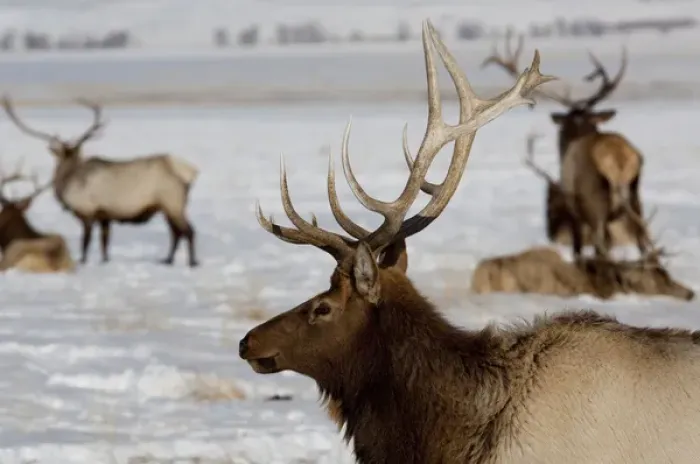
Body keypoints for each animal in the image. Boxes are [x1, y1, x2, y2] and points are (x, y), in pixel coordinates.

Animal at [1, 97, 199, 267]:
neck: (67, 181)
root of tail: (189, 171)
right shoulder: (105, 216)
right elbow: (105, 243)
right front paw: (105, 261)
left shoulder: (87, 211)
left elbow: (86, 242)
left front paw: (82, 261)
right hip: (166, 206)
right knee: (176, 232)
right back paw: (168, 259)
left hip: (172, 202)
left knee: (188, 231)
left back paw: (191, 262)